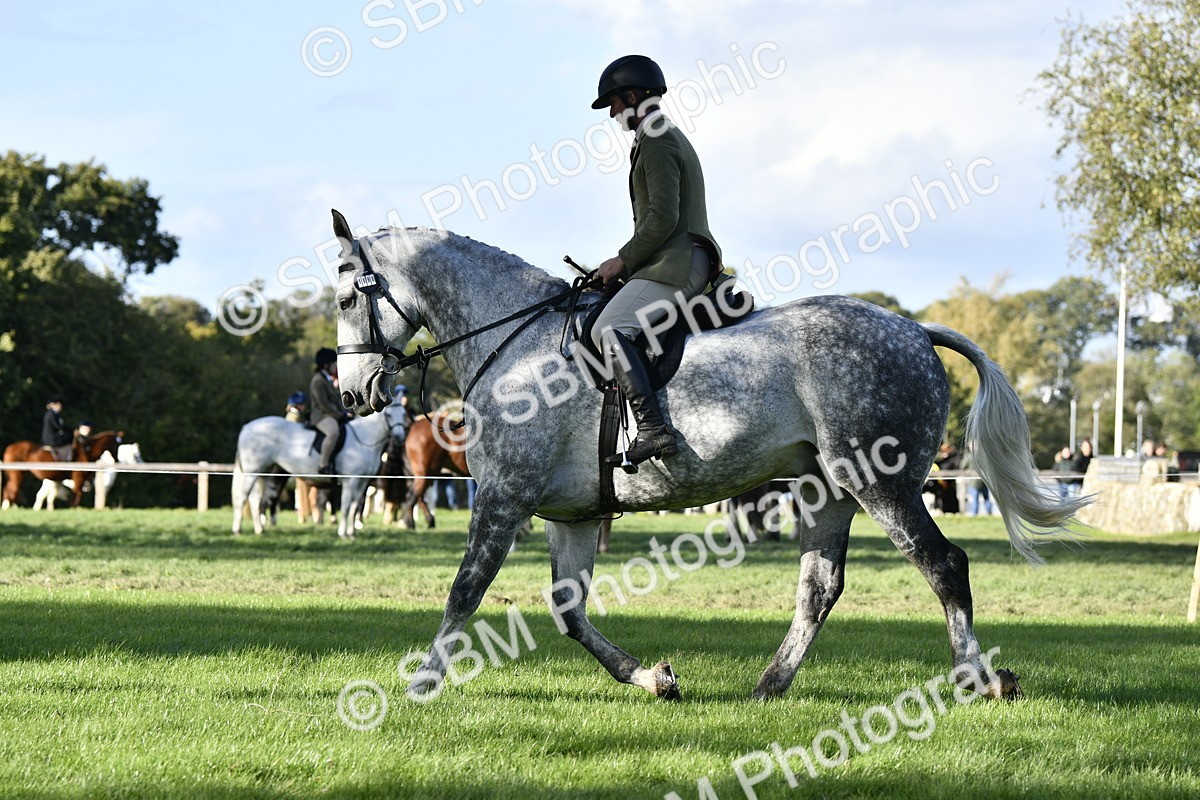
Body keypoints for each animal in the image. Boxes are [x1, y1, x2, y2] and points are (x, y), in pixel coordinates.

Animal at [231, 405, 407, 540]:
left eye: (404, 414)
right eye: (389, 414)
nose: (399, 437)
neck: (364, 440)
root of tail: (247, 427)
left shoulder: (362, 482)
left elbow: (354, 507)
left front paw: (351, 533)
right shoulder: (351, 481)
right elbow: (346, 507)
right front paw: (343, 533)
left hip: (261, 473)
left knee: (254, 500)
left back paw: (259, 529)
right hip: (253, 472)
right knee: (243, 498)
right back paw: (237, 530)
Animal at [330, 211, 1089, 702]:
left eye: (342, 297)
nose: (353, 393)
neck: (518, 343)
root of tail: (913, 328)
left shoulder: (503, 499)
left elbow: (464, 592)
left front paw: (421, 683)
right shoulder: (570, 514)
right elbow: (569, 612)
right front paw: (654, 679)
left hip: (882, 484)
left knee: (943, 565)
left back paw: (977, 679)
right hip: (829, 491)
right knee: (820, 587)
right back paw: (769, 686)